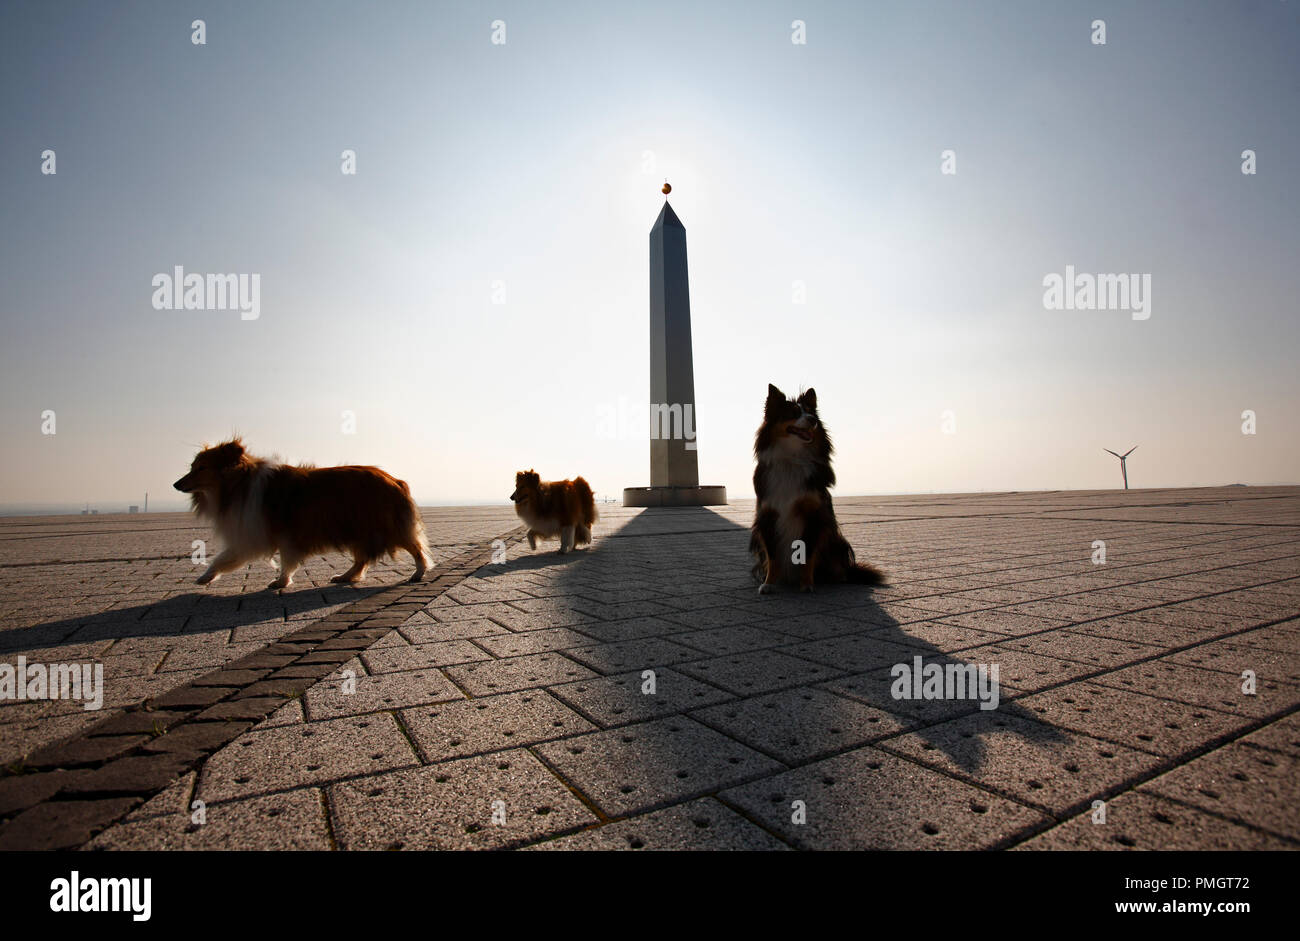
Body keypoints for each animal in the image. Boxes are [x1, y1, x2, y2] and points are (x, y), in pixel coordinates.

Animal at [174, 439, 431, 587]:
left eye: (201, 468)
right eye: (192, 467)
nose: (176, 484)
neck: (239, 483)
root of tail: (395, 480)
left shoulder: (268, 534)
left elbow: (283, 559)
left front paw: (281, 581)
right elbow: (226, 557)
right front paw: (206, 577)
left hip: (383, 527)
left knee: (415, 547)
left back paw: (419, 572)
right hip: (358, 530)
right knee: (362, 560)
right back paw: (345, 577)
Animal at [754, 384, 883, 595]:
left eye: (810, 412)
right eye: (794, 413)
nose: (813, 420)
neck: (792, 459)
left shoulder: (814, 514)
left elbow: (807, 554)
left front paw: (806, 584)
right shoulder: (768, 515)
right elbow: (772, 556)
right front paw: (769, 583)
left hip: (837, 540)